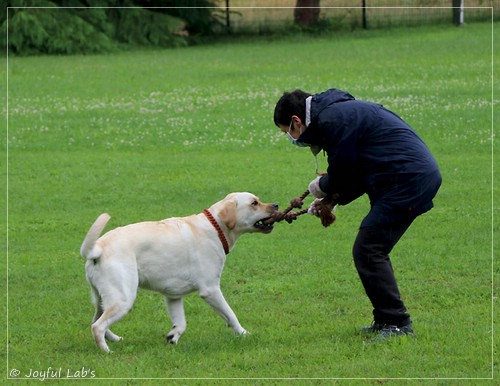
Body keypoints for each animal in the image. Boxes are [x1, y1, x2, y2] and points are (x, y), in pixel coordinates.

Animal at [80, 191, 280, 352]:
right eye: (254, 203)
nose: (276, 205)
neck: (215, 228)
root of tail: (97, 248)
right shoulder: (211, 290)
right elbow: (231, 315)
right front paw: (244, 333)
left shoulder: (173, 296)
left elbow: (181, 323)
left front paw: (172, 337)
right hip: (123, 298)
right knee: (97, 326)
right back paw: (107, 351)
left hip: (103, 299)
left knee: (95, 321)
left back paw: (115, 339)